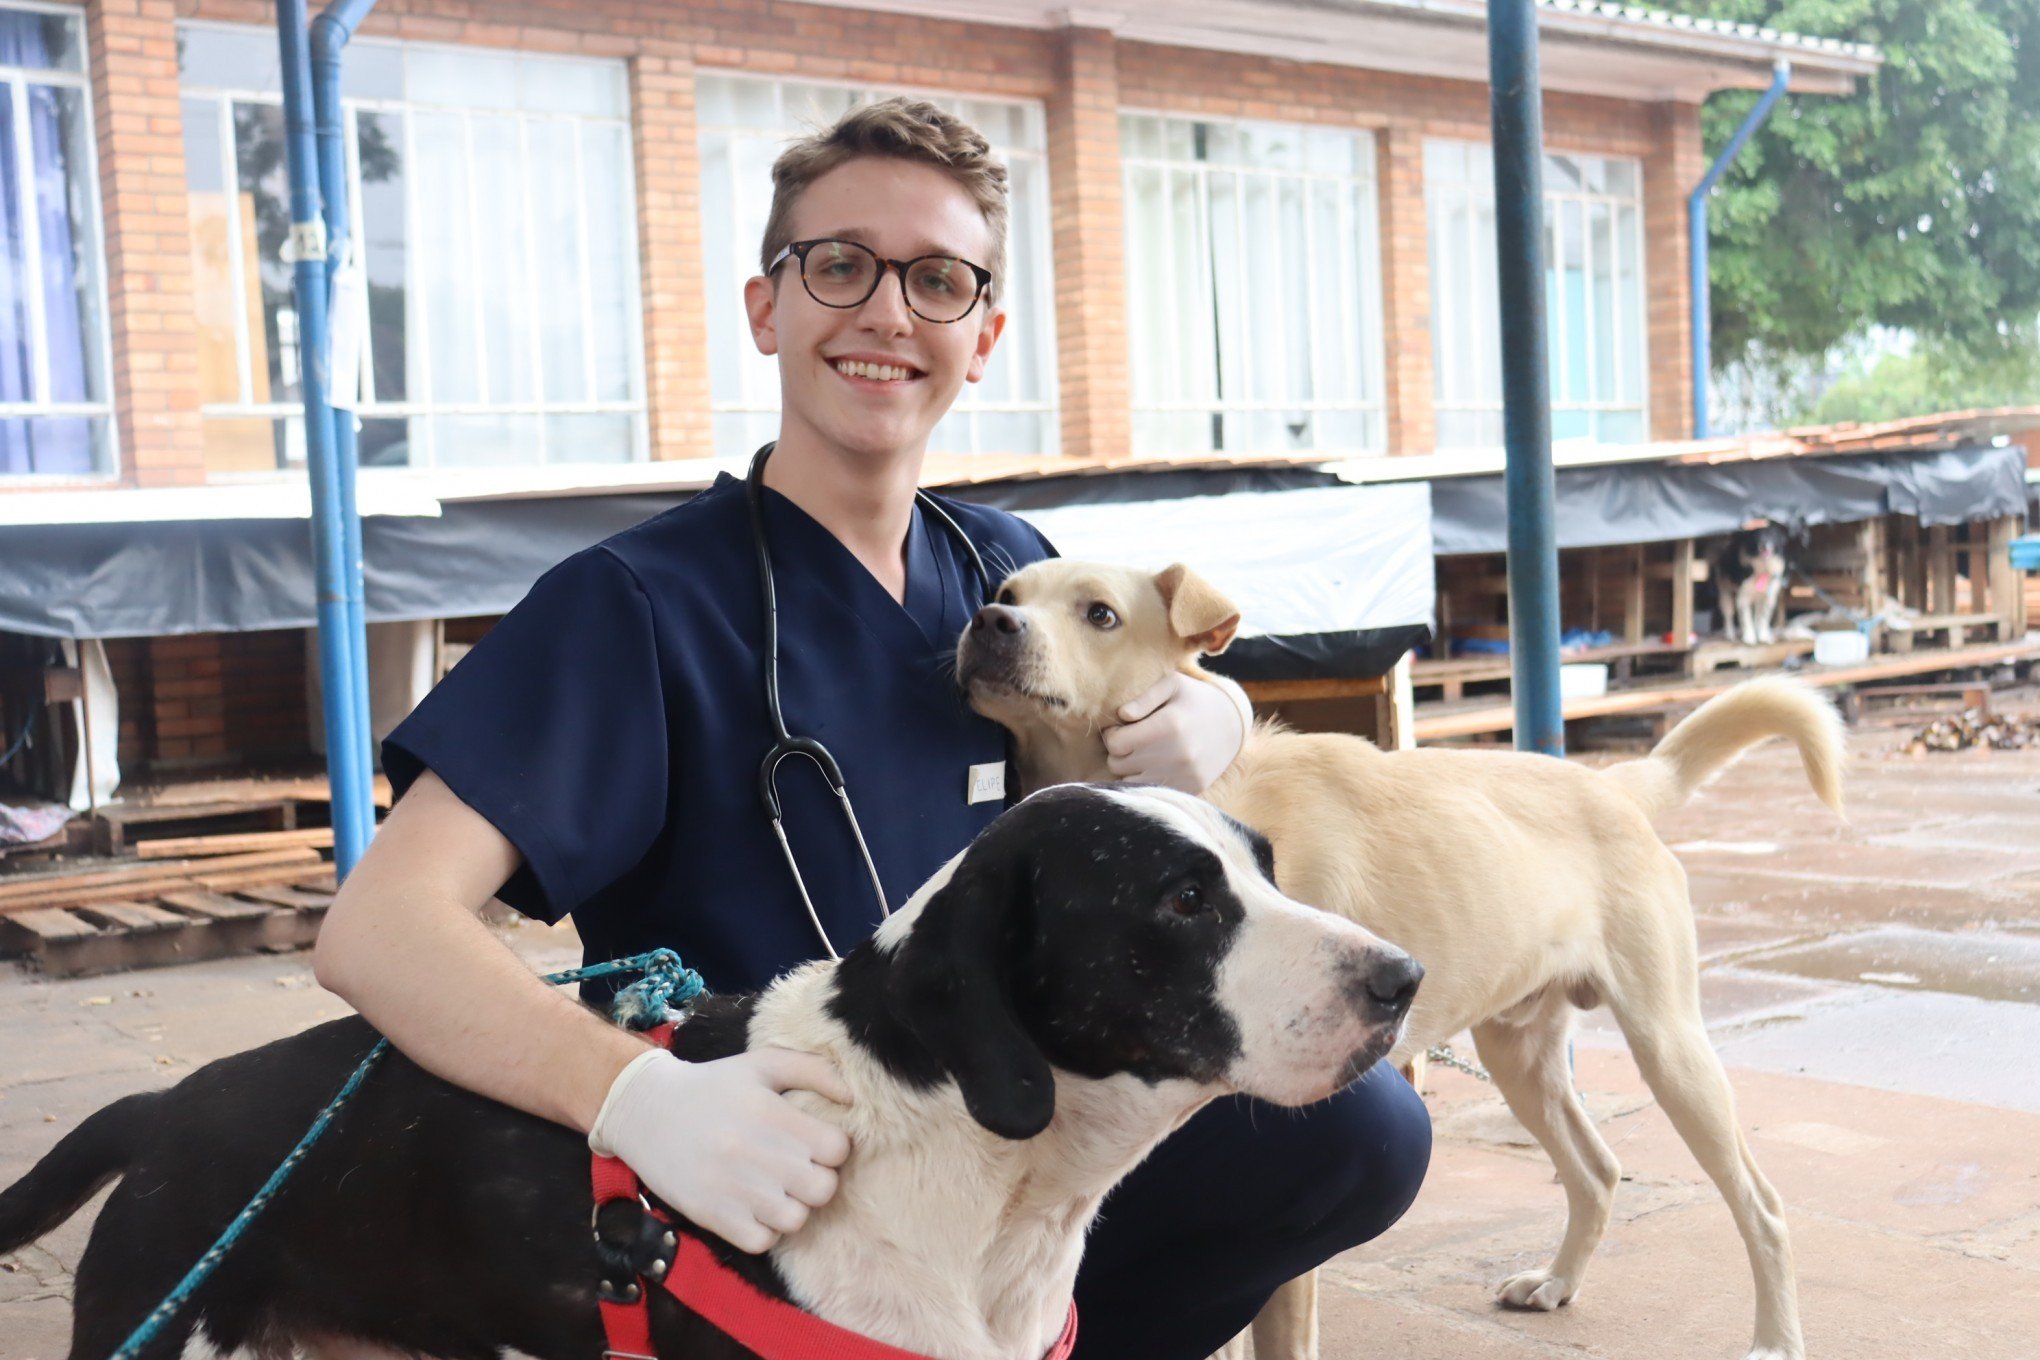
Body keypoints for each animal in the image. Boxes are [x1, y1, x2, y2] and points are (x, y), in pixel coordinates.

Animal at [954, 562, 1852, 1360]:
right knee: (1597, 1172)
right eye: (1008, 592)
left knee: (1762, 1205)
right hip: (1521, 1055)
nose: (989, 623)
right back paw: (1557, 1283)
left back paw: (1777, 1340)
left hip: (1669, 1047)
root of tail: (1621, 785)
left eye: (1100, 614)